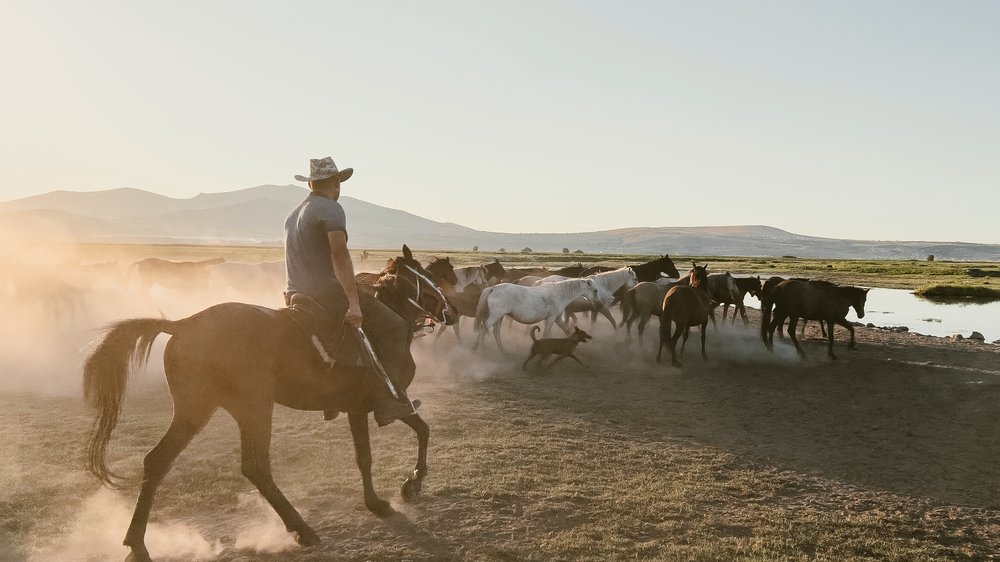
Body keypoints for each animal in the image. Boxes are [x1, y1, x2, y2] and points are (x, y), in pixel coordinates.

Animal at [84, 244, 456, 560]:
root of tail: (183, 323)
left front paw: (391, 495)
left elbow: (388, 445)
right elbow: (401, 440)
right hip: (252, 408)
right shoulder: (386, 400)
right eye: (428, 279)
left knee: (158, 461)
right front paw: (405, 487)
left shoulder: (363, 407)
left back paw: (137, 543)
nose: (451, 312)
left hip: (197, 410)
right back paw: (302, 529)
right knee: (255, 466)